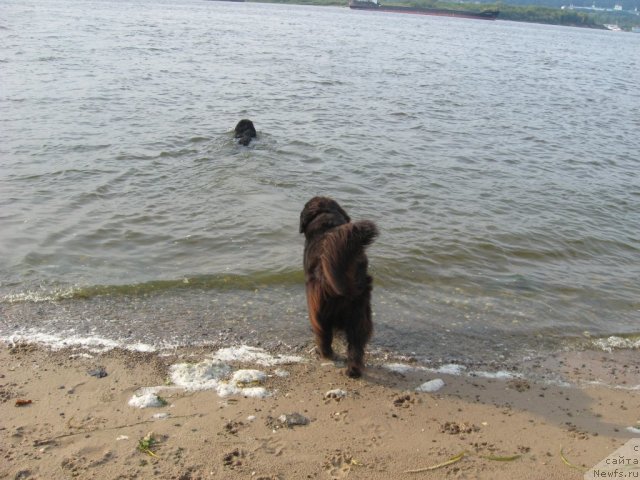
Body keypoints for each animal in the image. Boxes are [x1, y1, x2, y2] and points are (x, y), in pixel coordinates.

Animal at [298, 197, 378, 376]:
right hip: (359, 311)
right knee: (356, 344)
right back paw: (353, 370)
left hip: (320, 311)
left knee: (324, 337)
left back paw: (326, 354)